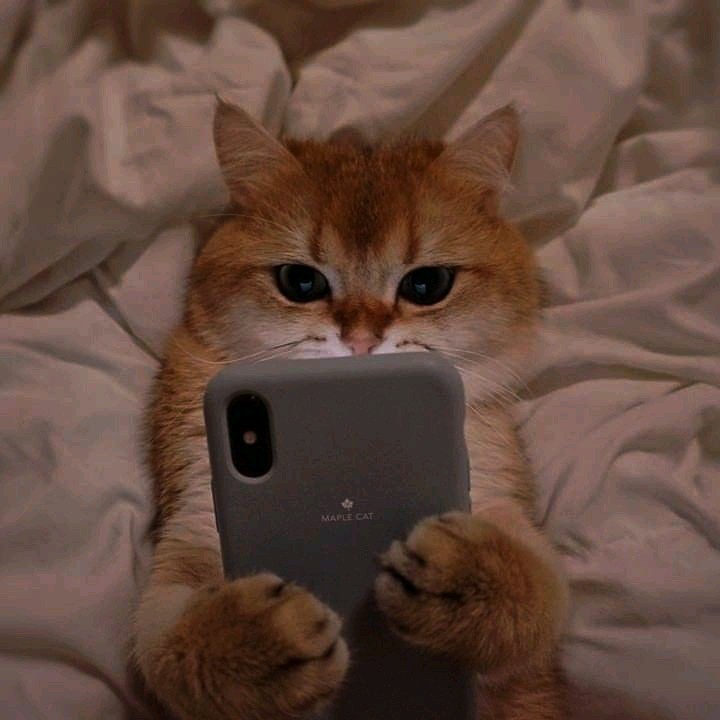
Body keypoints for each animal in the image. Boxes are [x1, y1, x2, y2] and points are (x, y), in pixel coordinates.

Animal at [131, 97, 569, 720]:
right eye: (300, 281)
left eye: (427, 284)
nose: (361, 342)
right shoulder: (191, 527)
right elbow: (165, 643)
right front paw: (256, 643)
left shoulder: (500, 501)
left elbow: (539, 592)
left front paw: (467, 580)